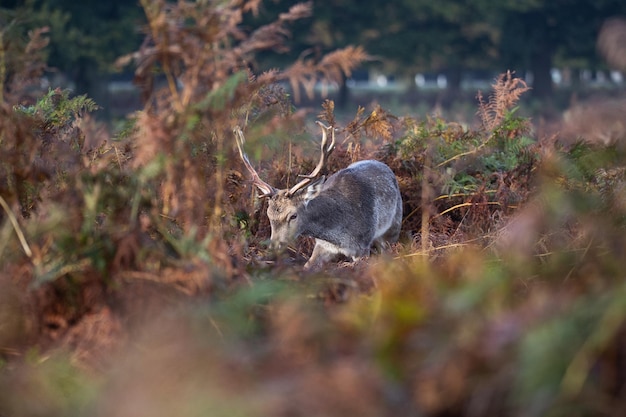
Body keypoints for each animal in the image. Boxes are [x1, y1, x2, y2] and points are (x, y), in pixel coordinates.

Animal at [233, 122, 400, 268]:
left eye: (293, 216)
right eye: (269, 215)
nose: (274, 247)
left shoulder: (362, 247)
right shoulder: (322, 247)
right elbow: (307, 266)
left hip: (393, 229)